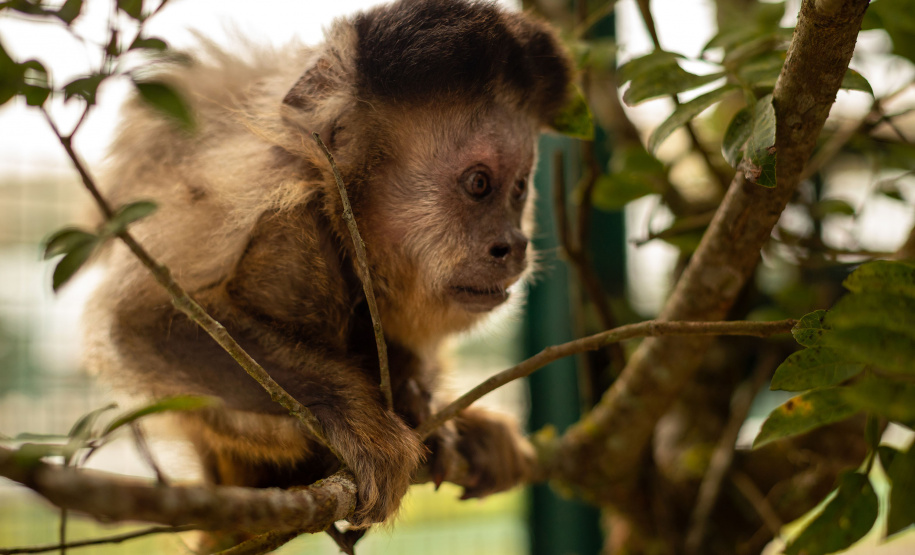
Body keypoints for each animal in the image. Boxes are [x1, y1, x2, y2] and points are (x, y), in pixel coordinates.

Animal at [82, 0, 572, 531]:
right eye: (479, 184)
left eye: (518, 189)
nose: (514, 243)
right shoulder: (262, 178)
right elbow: (144, 323)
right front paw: (359, 422)